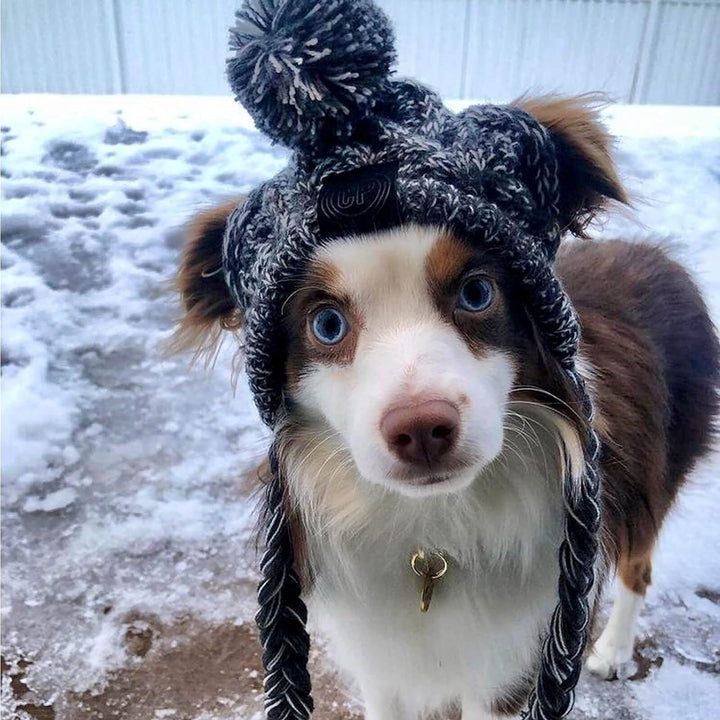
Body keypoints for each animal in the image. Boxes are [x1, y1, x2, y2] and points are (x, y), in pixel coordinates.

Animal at [172, 97, 716, 720]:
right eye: (326, 324)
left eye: (476, 293)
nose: (422, 430)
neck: (435, 525)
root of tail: (659, 256)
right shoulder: (379, 657)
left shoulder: (510, 662)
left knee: (638, 565)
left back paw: (613, 650)